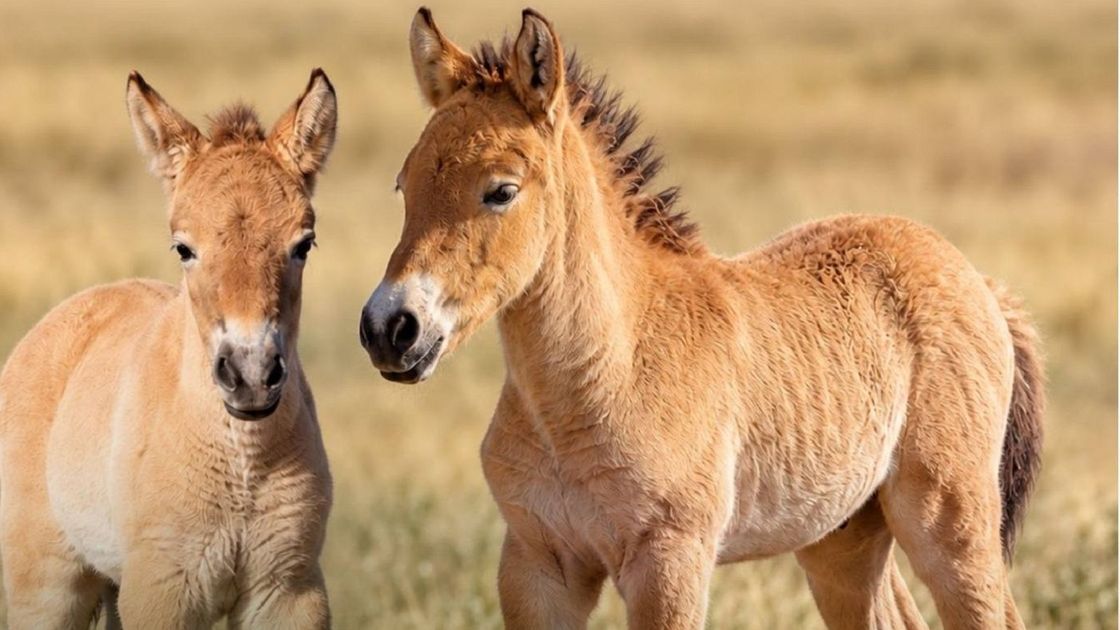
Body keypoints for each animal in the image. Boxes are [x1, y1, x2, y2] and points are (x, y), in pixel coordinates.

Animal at [0, 70, 337, 628]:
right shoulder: (163, 593)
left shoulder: (288, 591)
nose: (250, 375)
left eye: (303, 244)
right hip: (49, 588)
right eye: (184, 247)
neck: (242, 466)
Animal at [360, 8, 1044, 629]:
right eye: (403, 185)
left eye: (502, 190)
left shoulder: (670, 562)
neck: (603, 376)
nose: (390, 328)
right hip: (843, 537)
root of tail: (979, 283)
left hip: (950, 522)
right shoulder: (537, 564)